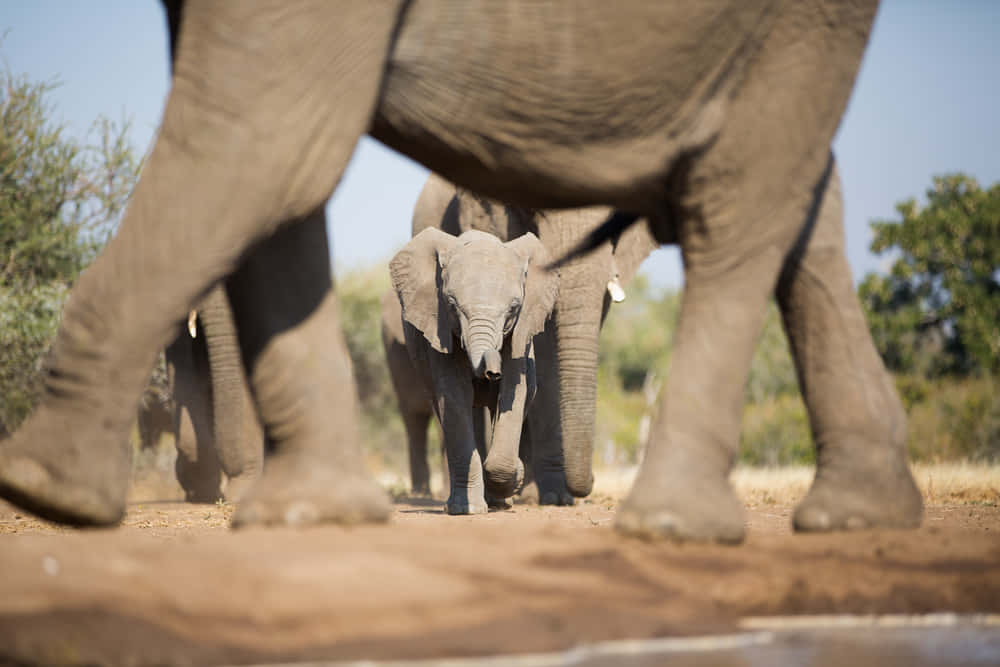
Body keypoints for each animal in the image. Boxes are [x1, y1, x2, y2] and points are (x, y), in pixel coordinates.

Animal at [388, 229, 558, 514]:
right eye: (451, 304)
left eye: (514, 307)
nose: (491, 373)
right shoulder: (439, 329)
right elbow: (455, 397)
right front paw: (466, 510)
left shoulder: (520, 334)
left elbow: (514, 393)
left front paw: (510, 484)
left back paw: (500, 499)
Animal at [405, 175, 659, 504]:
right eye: (533, 211)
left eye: (616, 223)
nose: (590, 481)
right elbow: (546, 353)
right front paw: (552, 496)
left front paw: (556, 498)